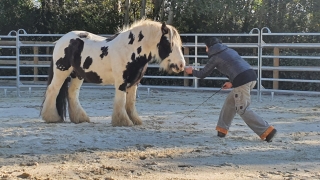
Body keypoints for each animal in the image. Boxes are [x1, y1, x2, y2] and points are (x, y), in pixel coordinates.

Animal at [40, 19, 185, 126]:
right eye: (168, 43)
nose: (181, 65)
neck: (130, 49)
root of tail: (61, 40)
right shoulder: (121, 82)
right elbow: (121, 101)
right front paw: (123, 121)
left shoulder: (134, 83)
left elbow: (130, 103)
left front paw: (135, 120)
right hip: (61, 70)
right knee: (53, 90)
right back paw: (52, 117)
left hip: (78, 75)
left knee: (72, 93)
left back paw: (80, 118)